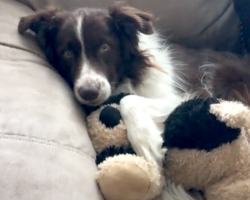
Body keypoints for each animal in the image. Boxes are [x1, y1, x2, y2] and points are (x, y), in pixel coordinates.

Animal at [18, 2, 250, 170]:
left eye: (105, 47)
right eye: (66, 53)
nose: (89, 93)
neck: (128, 76)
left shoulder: (183, 96)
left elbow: (129, 100)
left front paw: (147, 143)